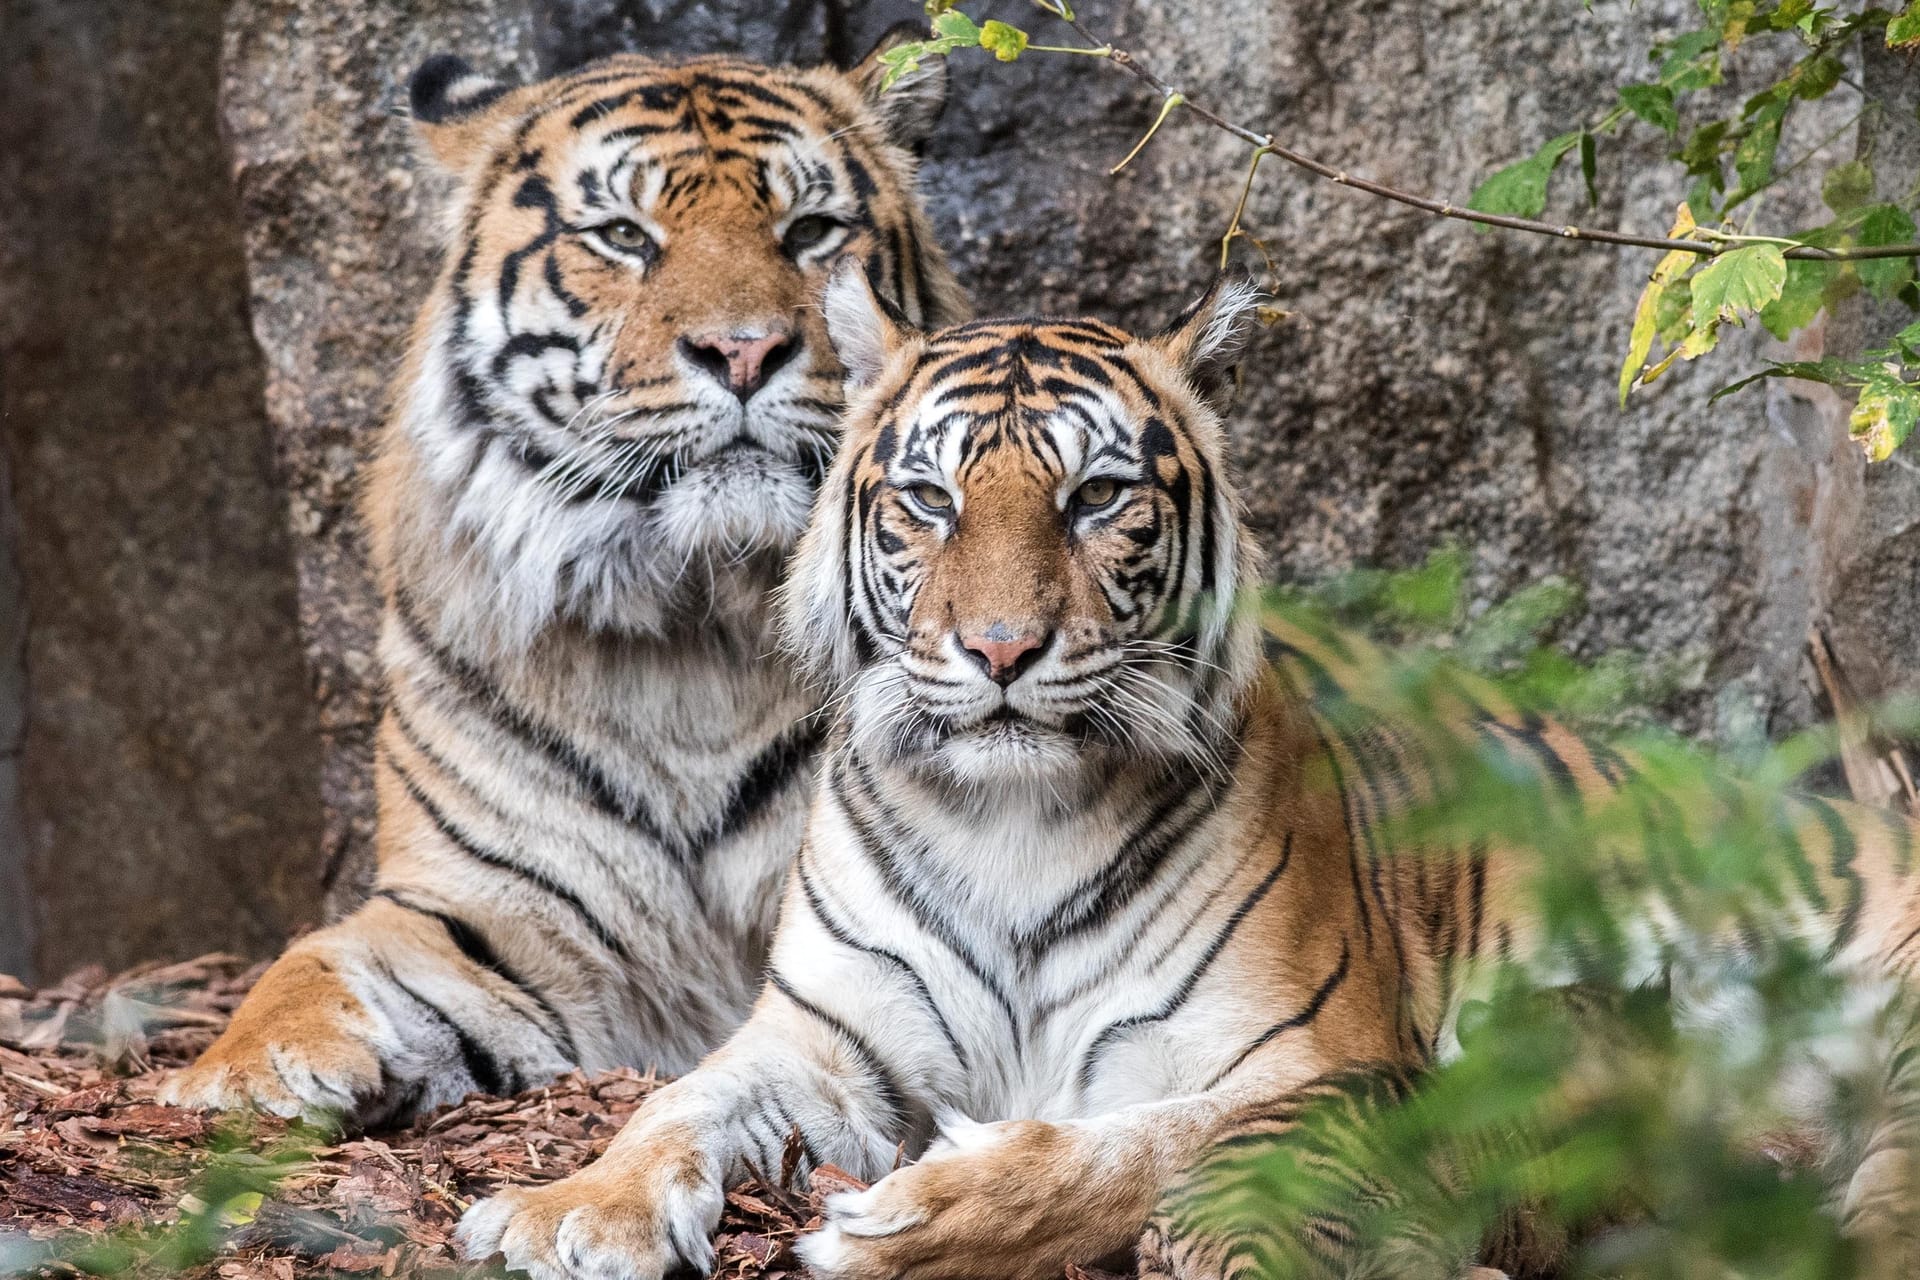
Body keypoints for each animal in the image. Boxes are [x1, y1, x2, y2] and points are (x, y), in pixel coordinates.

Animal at [163, 35, 967, 1128]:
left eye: (810, 231)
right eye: (625, 235)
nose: (745, 349)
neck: (698, 626)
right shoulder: (481, 901)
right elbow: (313, 953)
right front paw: (248, 1071)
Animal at [453, 264, 1920, 1274]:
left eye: (1095, 498)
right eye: (929, 502)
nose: (999, 649)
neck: (1007, 820)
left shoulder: (1311, 1054)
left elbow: (1147, 1138)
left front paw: (926, 1212)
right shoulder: (820, 1039)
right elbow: (678, 1104)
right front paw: (563, 1211)